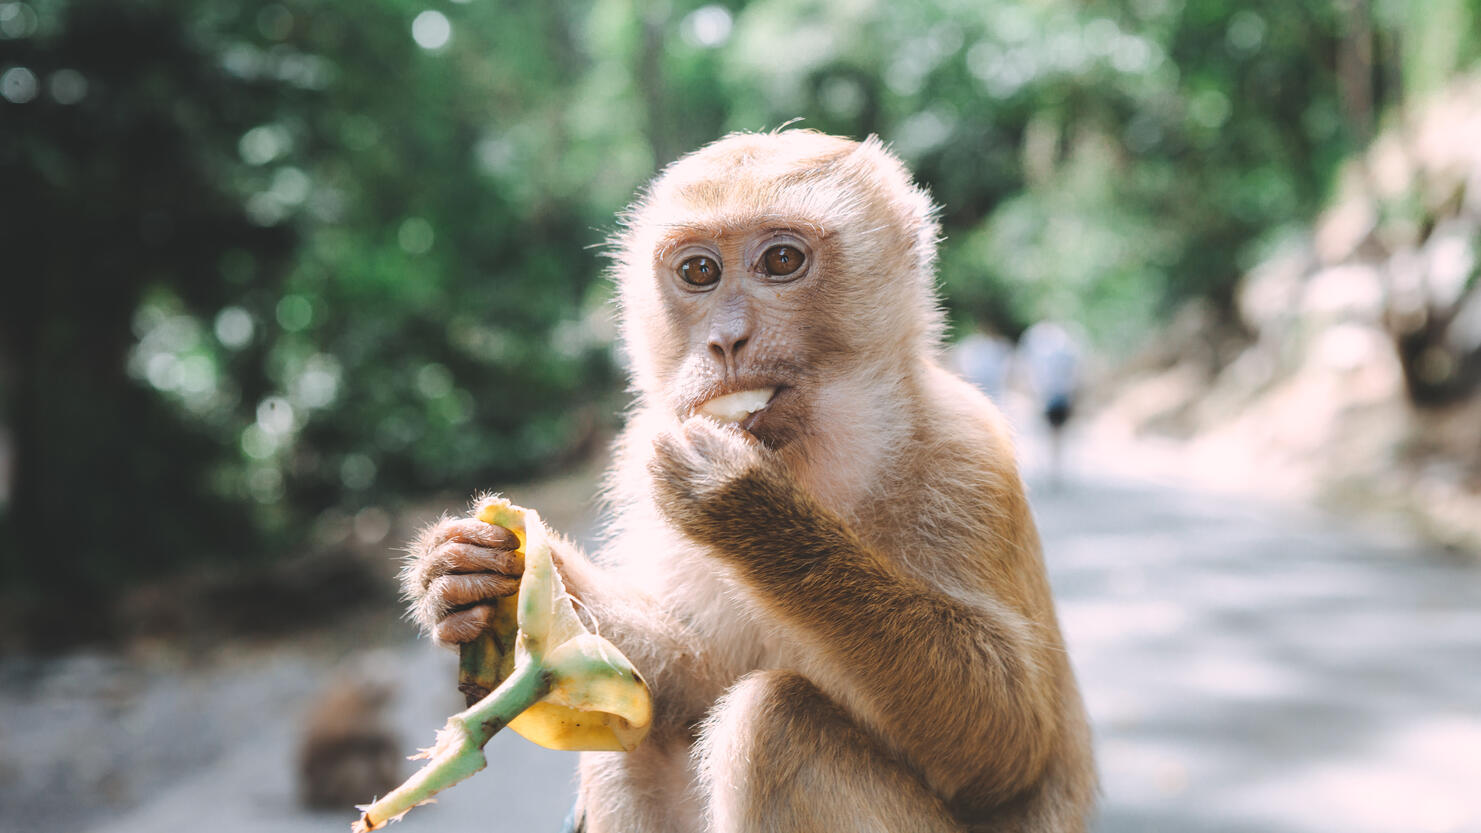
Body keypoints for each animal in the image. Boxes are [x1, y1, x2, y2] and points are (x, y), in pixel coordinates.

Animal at [399, 128, 1095, 824]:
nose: (727, 341)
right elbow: (696, 683)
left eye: (782, 260)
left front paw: (748, 509)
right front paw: (472, 575)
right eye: (699, 272)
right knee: (635, 744)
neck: (813, 457)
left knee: (777, 722)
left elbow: (1010, 747)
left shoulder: (968, 459)